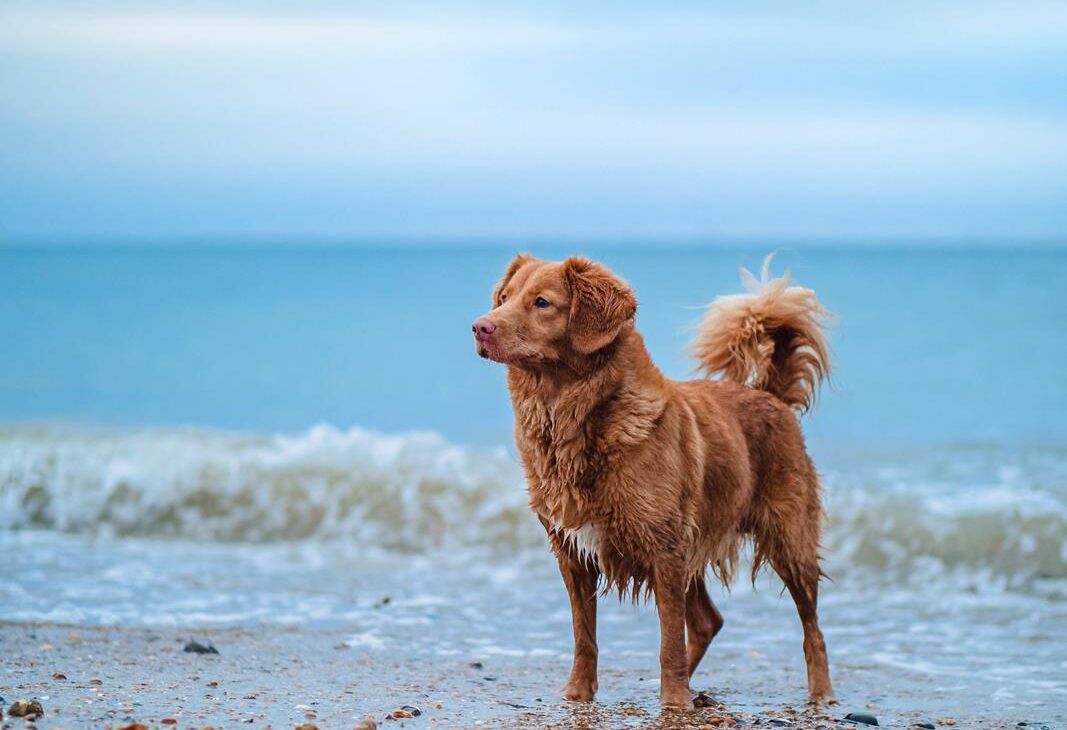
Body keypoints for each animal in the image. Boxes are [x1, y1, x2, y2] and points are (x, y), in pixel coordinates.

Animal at [473, 255, 832, 708]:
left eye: (541, 302)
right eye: (504, 298)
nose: (480, 327)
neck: (571, 414)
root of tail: (770, 396)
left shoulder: (663, 548)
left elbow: (669, 639)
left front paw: (674, 702)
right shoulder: (572, 551)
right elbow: (584, 634)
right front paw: (578, 695)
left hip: (788, 540)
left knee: (812, 629)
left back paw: (821, 696)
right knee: (708, 621)